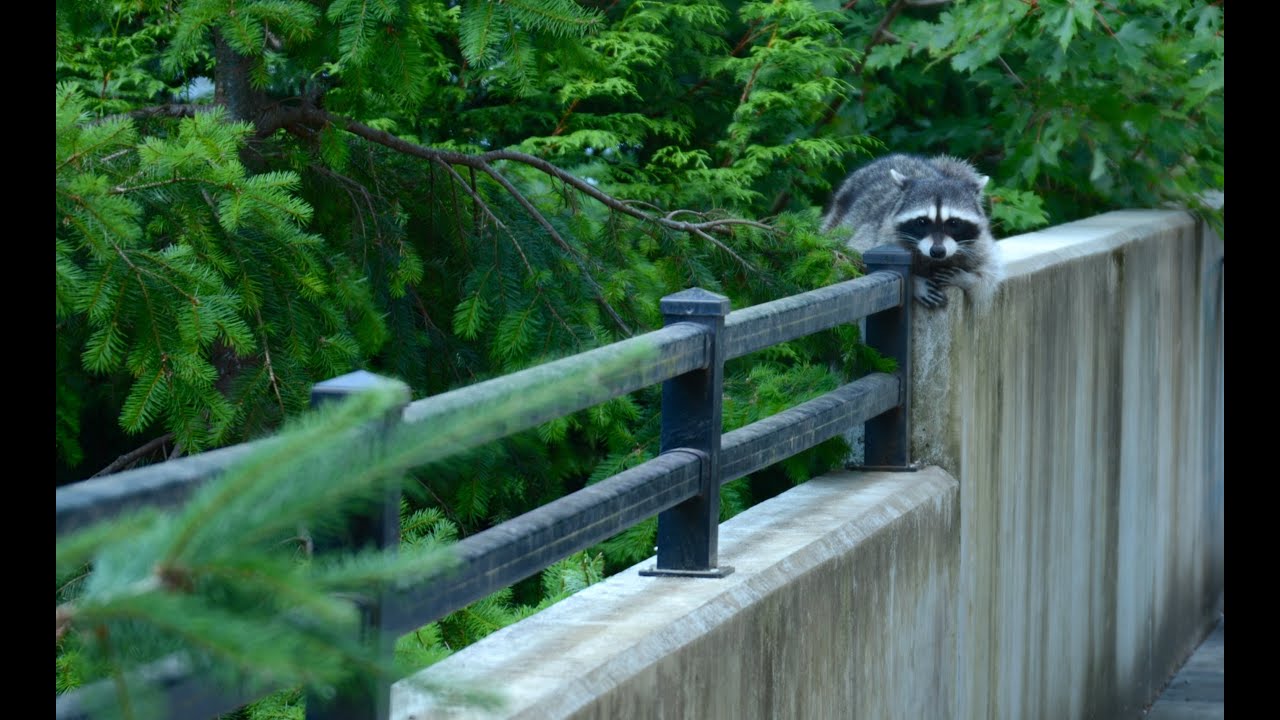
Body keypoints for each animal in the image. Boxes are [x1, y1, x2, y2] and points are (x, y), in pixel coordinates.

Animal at [822, 153, 1004, 309]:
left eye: (953, 222)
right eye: (922, 222)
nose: (937, 251)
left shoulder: (979, 244)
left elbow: (987, 277)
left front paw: (965, 279)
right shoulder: (881, 236)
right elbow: (854, 261)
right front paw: (915, 283)